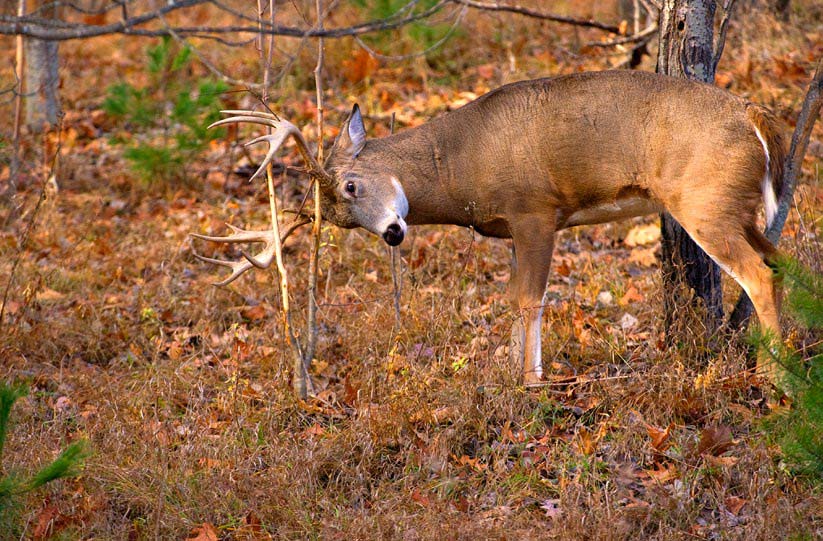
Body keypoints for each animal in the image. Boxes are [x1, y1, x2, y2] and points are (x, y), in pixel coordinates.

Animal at [192, 70, 784, 384]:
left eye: (351, 187)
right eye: (344, 223)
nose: (393, 233)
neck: (461, 166)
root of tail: (754, 117)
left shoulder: (535, 210)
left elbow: (529, 298)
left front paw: (531, 380)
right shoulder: (515, 227)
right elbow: (515, 298)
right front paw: (522, 373)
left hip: (703, 201)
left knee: (759, 274)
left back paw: (775, 378)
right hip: (736, 206)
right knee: (779, 261)